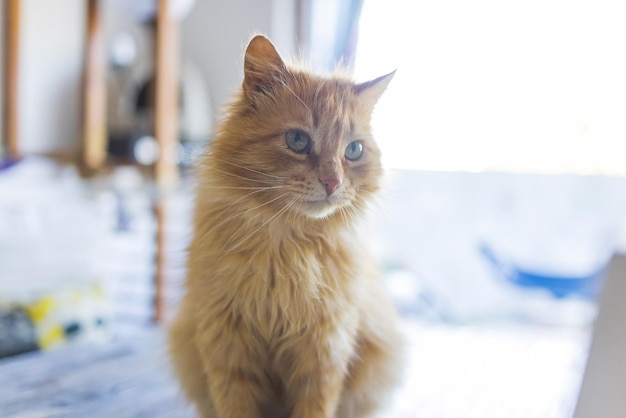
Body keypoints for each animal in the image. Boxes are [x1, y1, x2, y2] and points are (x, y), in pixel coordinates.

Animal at [166, 34, 402, 416]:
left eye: (353, 150)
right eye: (298, 141)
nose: (333, 183)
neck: (287, 249)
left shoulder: (324, 350)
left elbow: (315, 407)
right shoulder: (227, 346)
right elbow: (236, 407)